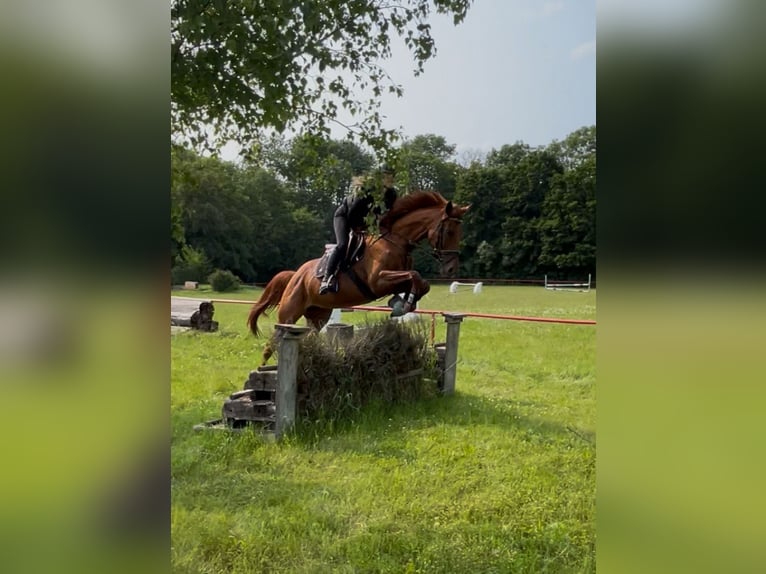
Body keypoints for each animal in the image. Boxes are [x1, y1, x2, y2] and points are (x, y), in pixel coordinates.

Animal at [247, 190, 470, 364]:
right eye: (450, 232)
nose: (452, 270)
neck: (396, 241)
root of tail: (296, 275)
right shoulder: (378, 281)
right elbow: (415, 277)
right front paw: (403, 305)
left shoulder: (395, 279)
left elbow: (420, 283)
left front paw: (401, 303)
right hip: (289, 313)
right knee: (272, 343)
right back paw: (264, 370)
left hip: (318, 316)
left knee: (305, 335)